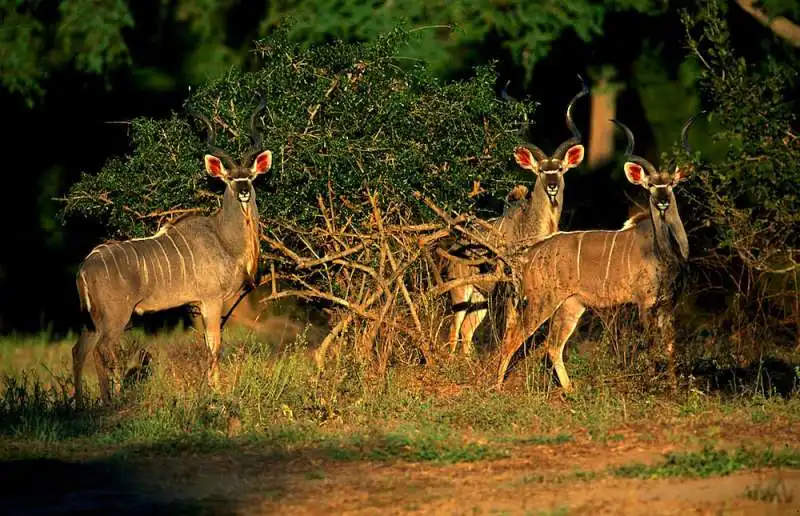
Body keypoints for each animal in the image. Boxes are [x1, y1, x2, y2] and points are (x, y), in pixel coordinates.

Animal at [72, 98, 272, 404]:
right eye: (228, 179)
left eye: (249, 177)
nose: (243, 191)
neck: (223, 238)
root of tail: (84, 267)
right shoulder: (211, 300)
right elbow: (215, 347)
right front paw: (217, 392)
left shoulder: (200, 304)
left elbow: (208, 345)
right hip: (115, 317)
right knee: (101, 349)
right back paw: (109, 400)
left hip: (93, 320)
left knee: (79, 350)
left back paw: (82, 403)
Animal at [446, 78, 592, 356]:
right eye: (541, 170)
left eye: (559, 169)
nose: (552, 186)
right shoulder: (512, 288)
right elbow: (511, 327)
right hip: (461, 291)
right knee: (453, 331)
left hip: (480, 299)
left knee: (467, 331)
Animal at [494, 115, 700, 390]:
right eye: (650, 185)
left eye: (671, 184)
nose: (662, 201)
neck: (662, 253)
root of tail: (530, 255)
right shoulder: (644, 304)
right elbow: (650, 346)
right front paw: (652, 386)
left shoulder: (667, 306)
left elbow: (669, 347)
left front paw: (674, 389)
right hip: (542, 302)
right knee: (512, 339)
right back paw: (496, 387)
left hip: (571, 305)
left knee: (553, 346)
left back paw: (570, 390)